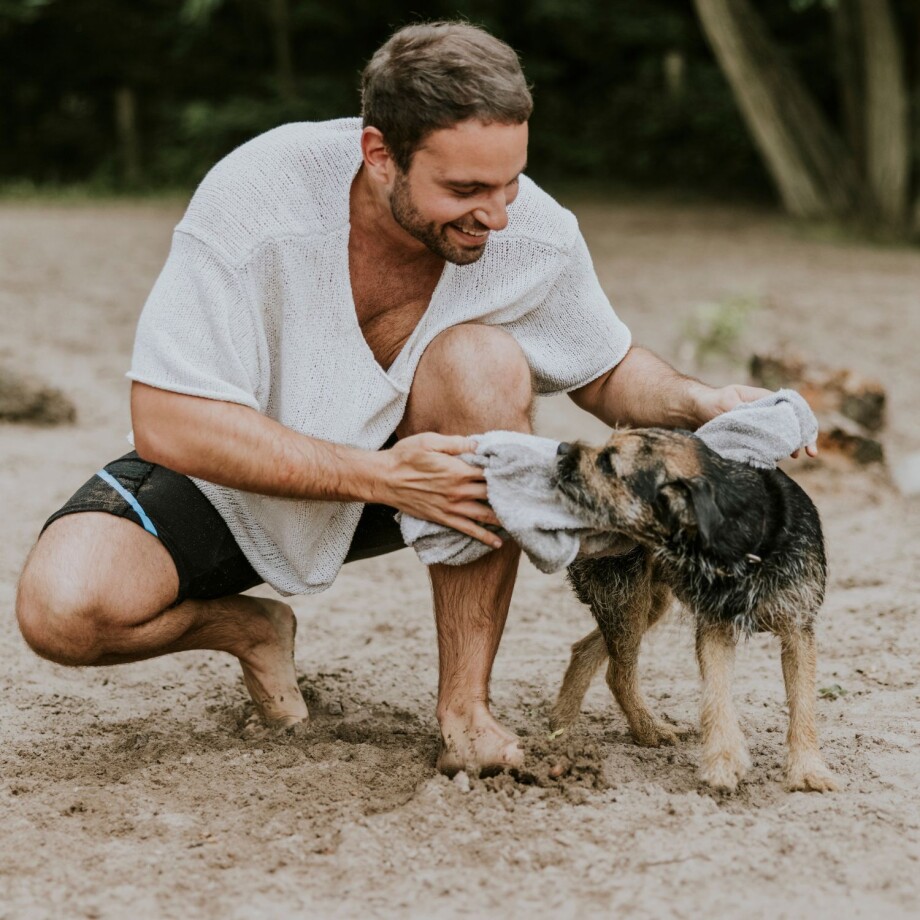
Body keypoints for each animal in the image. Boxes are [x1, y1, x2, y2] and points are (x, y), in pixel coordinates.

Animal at [548, 428, 836, 796]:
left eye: (609, 463)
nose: (561, 448)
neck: (747, 543)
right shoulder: (714, 628)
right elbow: (717, 696)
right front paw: (723, 761)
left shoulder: (799, 629)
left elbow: (804, 704)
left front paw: (808, 769)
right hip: (626, 596)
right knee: (619, 672)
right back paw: (649, 730)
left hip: (649, 603)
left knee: (586, 650)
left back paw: (562, 727)